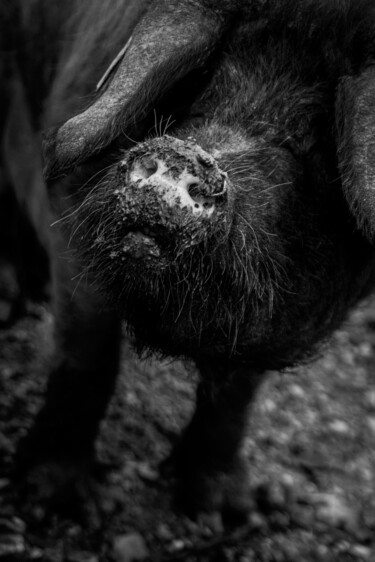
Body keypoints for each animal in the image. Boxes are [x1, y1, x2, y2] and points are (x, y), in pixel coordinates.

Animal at [4, 0, 375, 520]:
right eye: (199, 87)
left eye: (313, 142)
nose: (187, 152)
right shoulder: (69, 213)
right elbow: (88, 353)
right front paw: (57, 501)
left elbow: (239, 391)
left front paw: (225, 511)